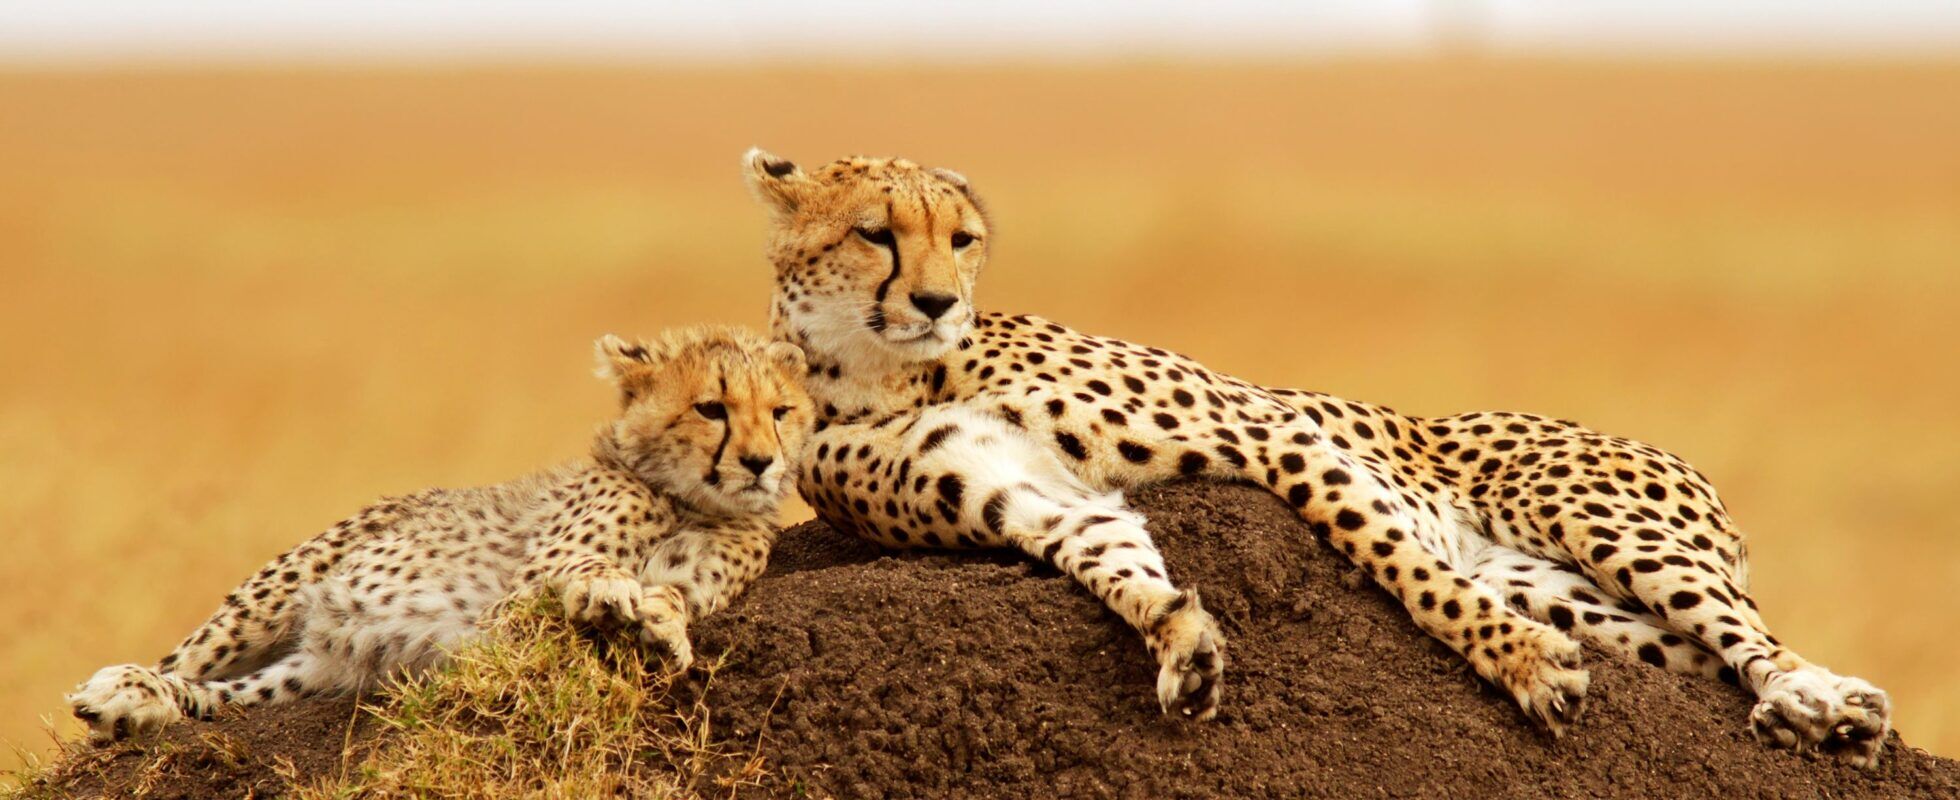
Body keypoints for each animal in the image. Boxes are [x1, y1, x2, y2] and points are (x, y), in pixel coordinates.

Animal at [63, 327, 811, 745]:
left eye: (781, 412)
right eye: (711, 408)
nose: (760, 463)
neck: (685, 498)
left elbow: (674, 597)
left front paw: (658, 624)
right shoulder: (507, 615)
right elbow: (573, 583)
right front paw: (606, 592)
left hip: (312, 674)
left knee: (214, 700)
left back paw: (134, 706)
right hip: (271, 600)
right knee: (179, 666)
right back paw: (123, 690)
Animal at [740, 150, 1889, 768]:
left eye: (963, 238)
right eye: (875, 233)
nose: (939, 301)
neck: (886, 370)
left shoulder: (1270, 434)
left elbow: (1402, 565)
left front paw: (1518, 663)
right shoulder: (1040, 499)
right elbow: (1120, 566)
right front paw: (1186, 645)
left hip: (1604, 522)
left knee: (1754, 633)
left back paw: (1817, 703)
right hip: (1589, 604)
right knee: (1695, 654)